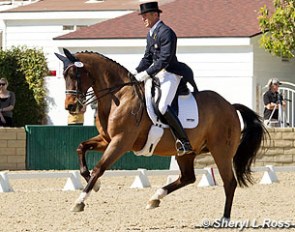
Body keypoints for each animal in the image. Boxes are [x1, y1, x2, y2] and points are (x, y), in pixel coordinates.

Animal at [55, 48, 268, 220]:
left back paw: (224, 218)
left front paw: (80, 201)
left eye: (76, 74)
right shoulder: (107, 140)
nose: (70, 106)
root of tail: (230, 105)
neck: (119, 97)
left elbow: (99, 167)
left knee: (229, 183)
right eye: (64, 75)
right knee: (188, 177)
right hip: (186, 153)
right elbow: (81, 148)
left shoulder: (120, 142)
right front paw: (95, 185)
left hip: (221, 151)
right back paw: (155, 198)